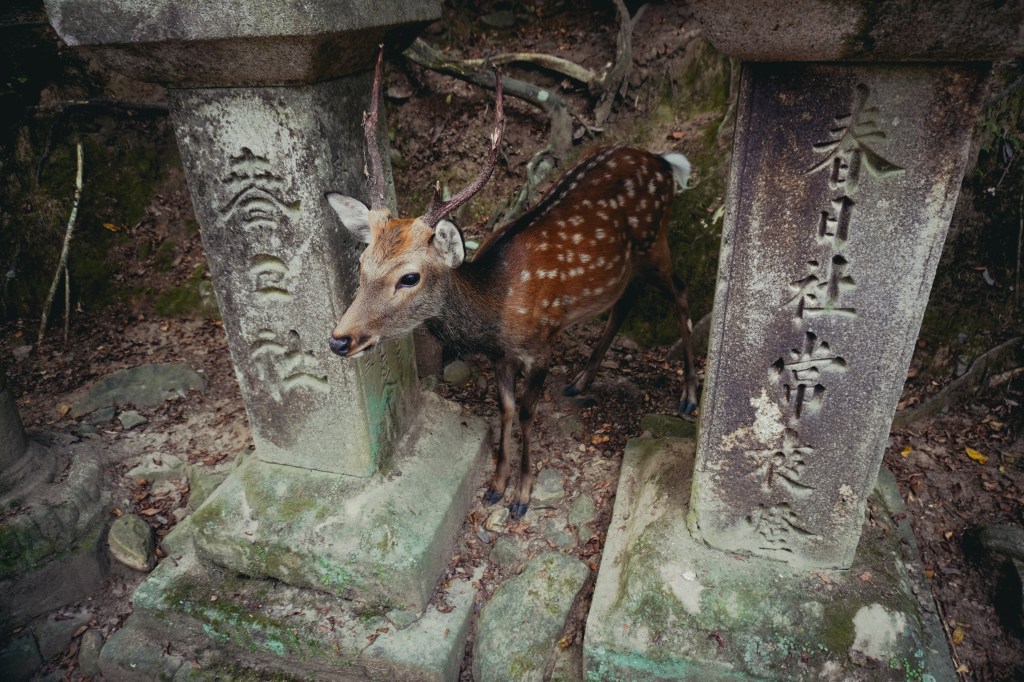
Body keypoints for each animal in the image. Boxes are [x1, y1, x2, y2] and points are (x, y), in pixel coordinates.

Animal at [325, 50, 698, 519]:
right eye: (362, 263)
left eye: (409, 277)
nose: (339, 339)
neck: (497, 309)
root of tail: (665, 164)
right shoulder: (500, 355)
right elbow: (503, 409)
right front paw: (496, 486)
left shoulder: (541, 345)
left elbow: (525, 413)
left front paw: (521, 495)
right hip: (629, 262)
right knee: (624, 301)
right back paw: (581, 381)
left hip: (655, 239)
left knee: (681, 291)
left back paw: (689, 396)